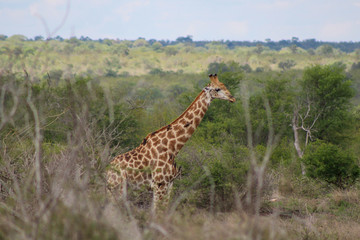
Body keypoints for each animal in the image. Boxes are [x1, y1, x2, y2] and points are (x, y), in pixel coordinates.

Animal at [107, 73, 236, 210]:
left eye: (224, 85)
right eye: (217, 89)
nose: (232, 98)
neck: (173, 147)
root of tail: (107, 171)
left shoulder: (169, 184)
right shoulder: (159, 184)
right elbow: (157, 211)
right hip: (118, 187)